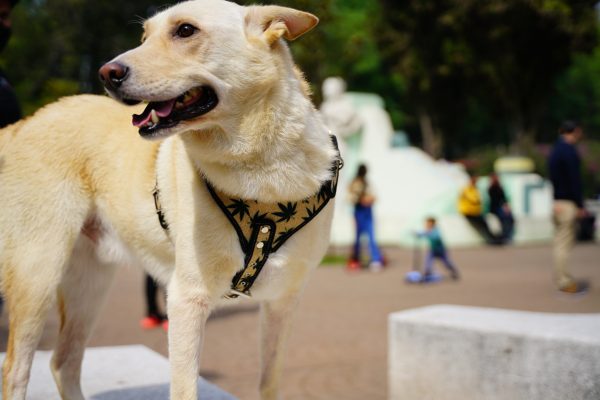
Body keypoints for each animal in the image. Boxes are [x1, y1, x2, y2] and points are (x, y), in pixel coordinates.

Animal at [0, 1, 340, 398]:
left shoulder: (282, 303)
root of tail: (24, 123)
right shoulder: (186, 299)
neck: (263, 170)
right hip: (38, 273)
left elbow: (269, 383)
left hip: (90, 281)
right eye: (144, 36)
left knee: (63, 361)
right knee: (16, 369)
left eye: (185, 30)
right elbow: (184, 388)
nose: (106, 73)